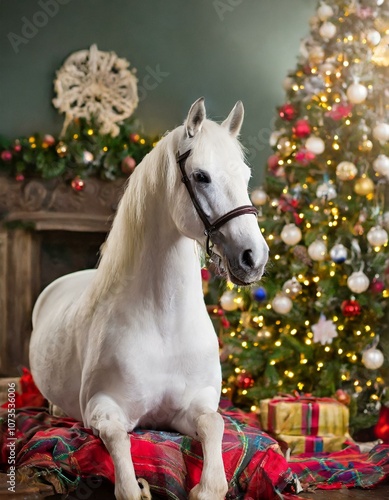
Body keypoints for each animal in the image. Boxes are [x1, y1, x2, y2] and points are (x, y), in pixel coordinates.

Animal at [29, 98, 266, 500]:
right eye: (201, 176)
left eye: (246, 176)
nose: (254, 257)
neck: (165, 323)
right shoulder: (103, 408)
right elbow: (120, 452)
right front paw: (138, 485)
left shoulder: (195, 407)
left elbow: (215, 427)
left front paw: (204, 487)